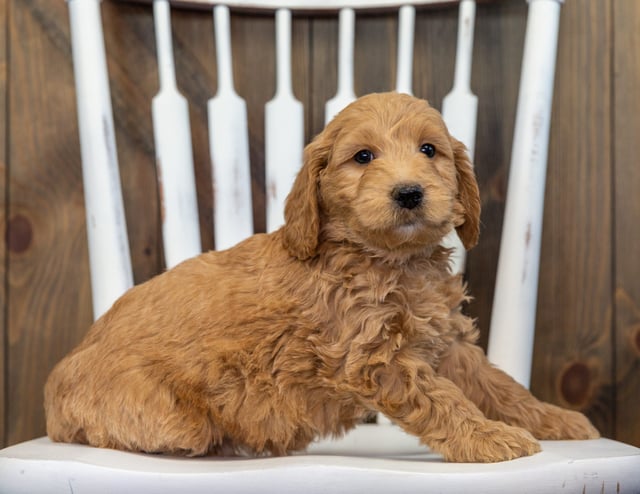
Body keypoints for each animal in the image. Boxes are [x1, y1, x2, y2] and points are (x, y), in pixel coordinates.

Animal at [42, 92, 596, 464]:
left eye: (429, 151)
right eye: (363, 157)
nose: (409, 193)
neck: (390, 260)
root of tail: (54, 386)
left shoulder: (447, 343)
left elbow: (500, 386)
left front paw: (555, 420)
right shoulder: (374, 358)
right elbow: (444, 400)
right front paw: (489, 438)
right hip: (168, 419)